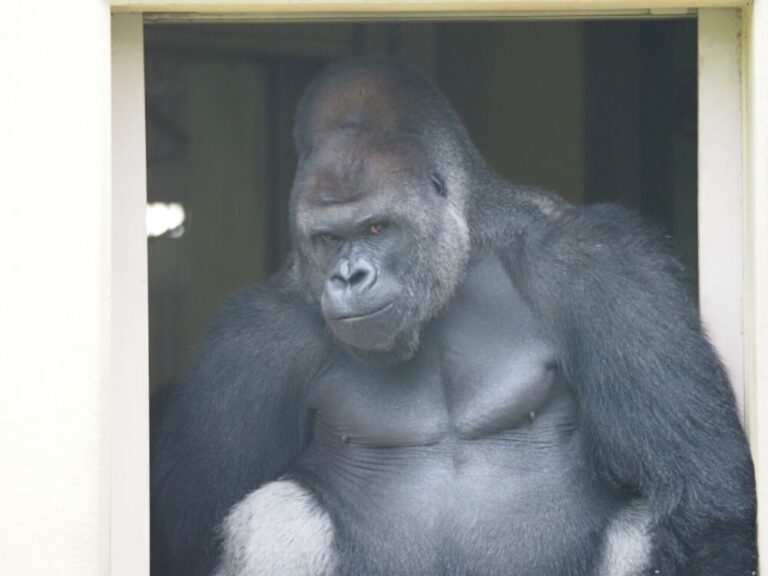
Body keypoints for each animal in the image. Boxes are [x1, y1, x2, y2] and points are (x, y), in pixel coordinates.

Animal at [150, 59, 756, 576]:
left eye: (376, 228)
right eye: (328, 239)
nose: (348, 277)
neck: (467, 249)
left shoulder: (606, 264)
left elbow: (705, 508)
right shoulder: (250, 342)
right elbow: (181, 532)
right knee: (280, 514)